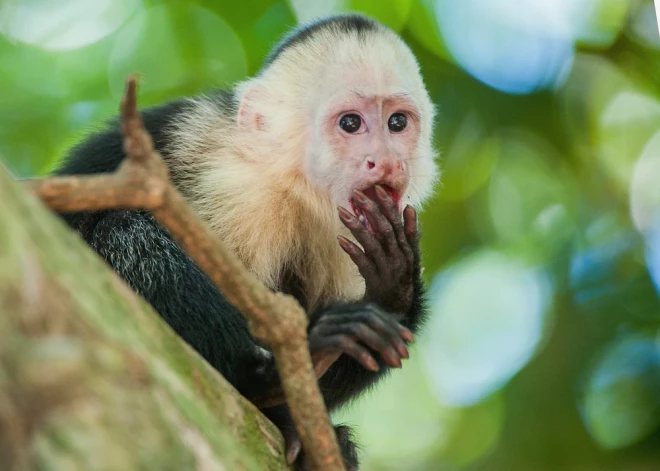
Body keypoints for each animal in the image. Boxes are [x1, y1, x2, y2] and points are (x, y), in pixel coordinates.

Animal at [55, 12, 438, 470]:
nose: (386, 161)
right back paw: (265, 378)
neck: (291, 185)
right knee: (122, 233)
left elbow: (376, 336)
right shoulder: (235, 189)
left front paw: (392, 285)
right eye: (350, 123)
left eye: (397, 123)